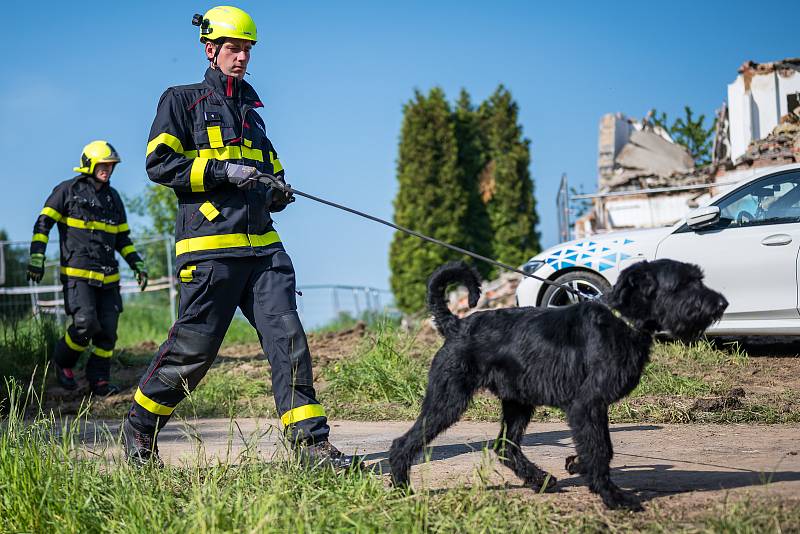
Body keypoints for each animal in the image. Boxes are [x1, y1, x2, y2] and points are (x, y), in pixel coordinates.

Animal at [390, 260, 728, 510]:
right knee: (404, 443)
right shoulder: (586, 405)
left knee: (505, 445)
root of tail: (457, 325)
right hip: (448, 400)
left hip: (518, 403)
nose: (722, 303)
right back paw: (401, 488)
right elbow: (600, 448)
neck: (620, 320)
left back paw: (539, 479)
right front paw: (613, 496)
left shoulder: (593, 408)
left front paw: (577, 463)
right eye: (683, 283)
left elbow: (600, 445)